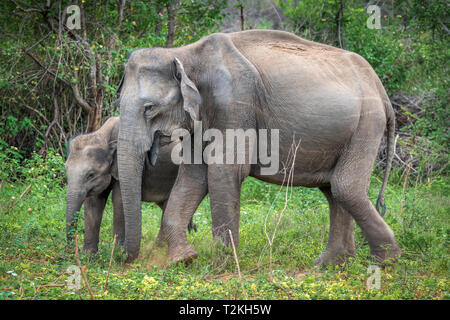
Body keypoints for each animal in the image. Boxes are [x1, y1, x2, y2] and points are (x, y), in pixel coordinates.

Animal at [65, 116, 192, 254]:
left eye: (91, 174)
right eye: (66, 169)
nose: (72, 249)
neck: (104, 135)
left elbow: (119, 200)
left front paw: (117, 252)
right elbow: (93, 203)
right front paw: (88, 255)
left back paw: (158, 249)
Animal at [117, 30, 400, 264]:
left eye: (149, 108)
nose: (130, 259)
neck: (186, 52)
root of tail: (381, 89)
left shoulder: (235, 102)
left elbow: (223, 171)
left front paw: (223, 267)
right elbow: (193, 177)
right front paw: (183, 260)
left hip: (367, 124)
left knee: (345, 187)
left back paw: (385, 261)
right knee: (332, 190)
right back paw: (331, 264)